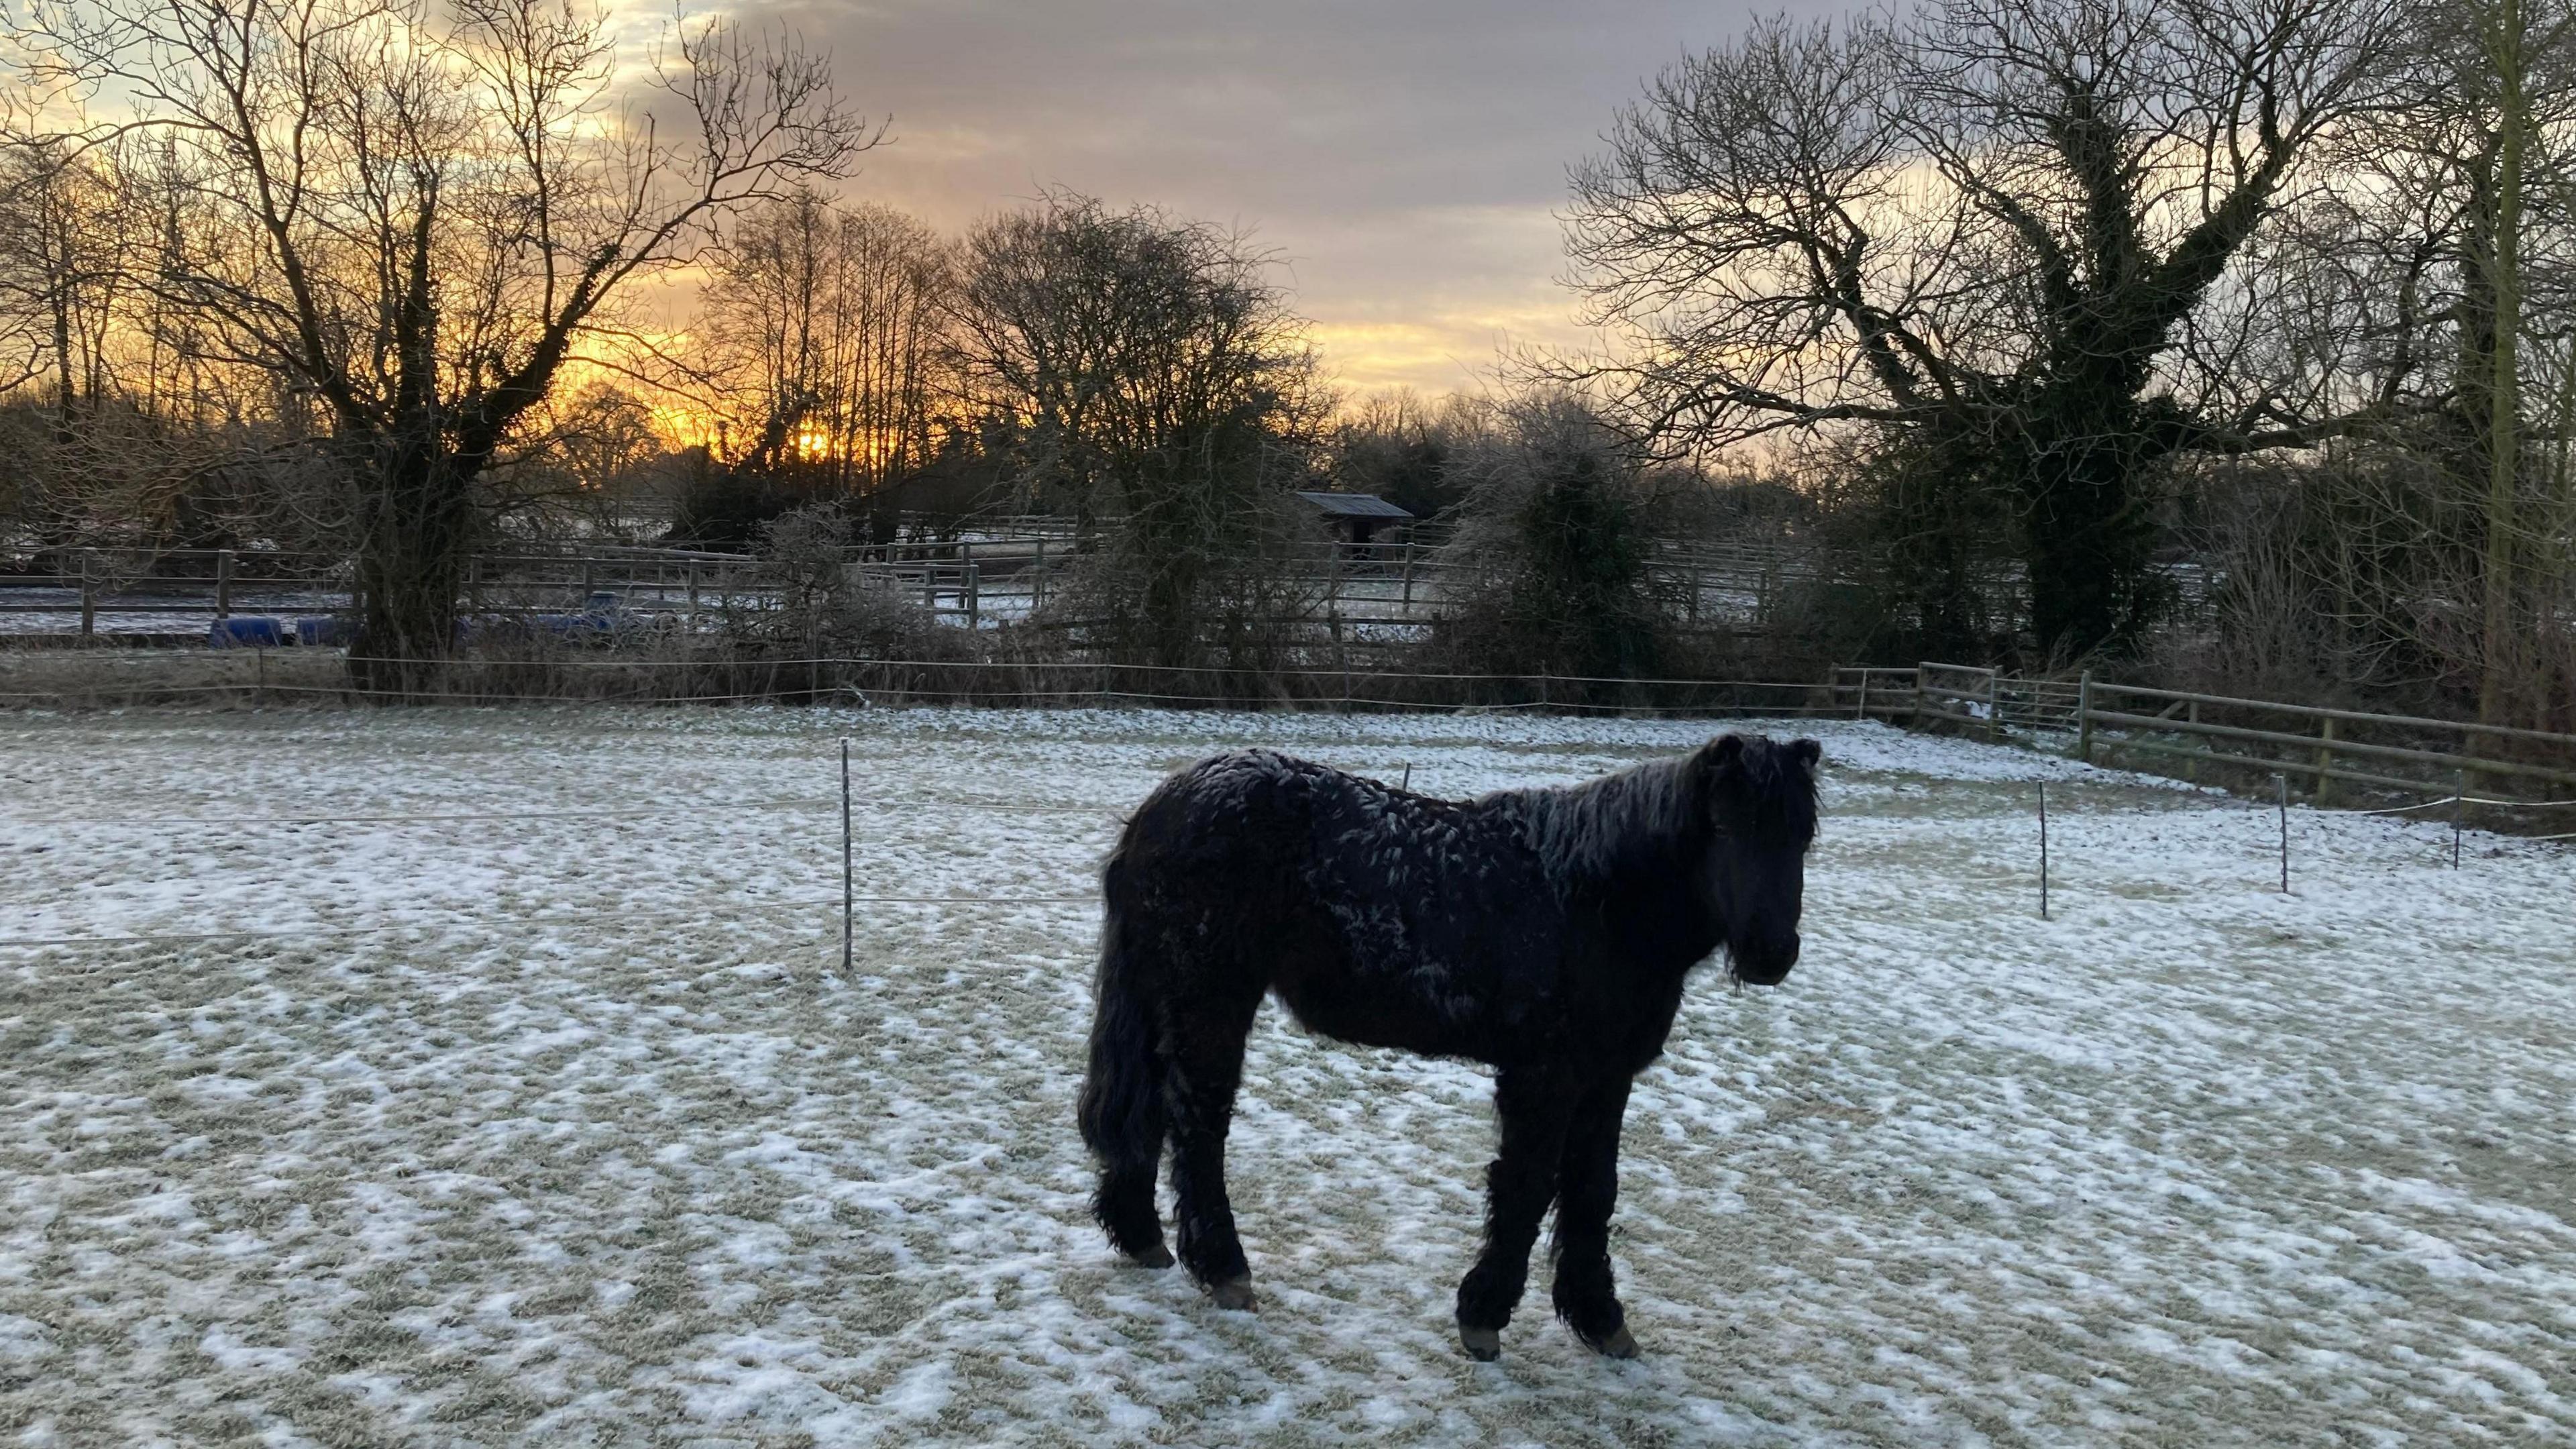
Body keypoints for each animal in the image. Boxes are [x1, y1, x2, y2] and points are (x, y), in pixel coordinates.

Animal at [1077, 732, 1823, 1350]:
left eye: (1803, 836)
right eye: (1723, 825)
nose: (1771, 954)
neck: (1592, 899)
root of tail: (1159, 810)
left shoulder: (1606, 1078)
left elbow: (1594, 1191)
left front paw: (1600, 1318)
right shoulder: (1544, 1076)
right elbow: (1527, 1185)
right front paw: (1484, 1315)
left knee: (1147, 1112)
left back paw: (1141, 1236)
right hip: (1210, 1002)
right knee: (1199, 1127)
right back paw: (1224, 1268)